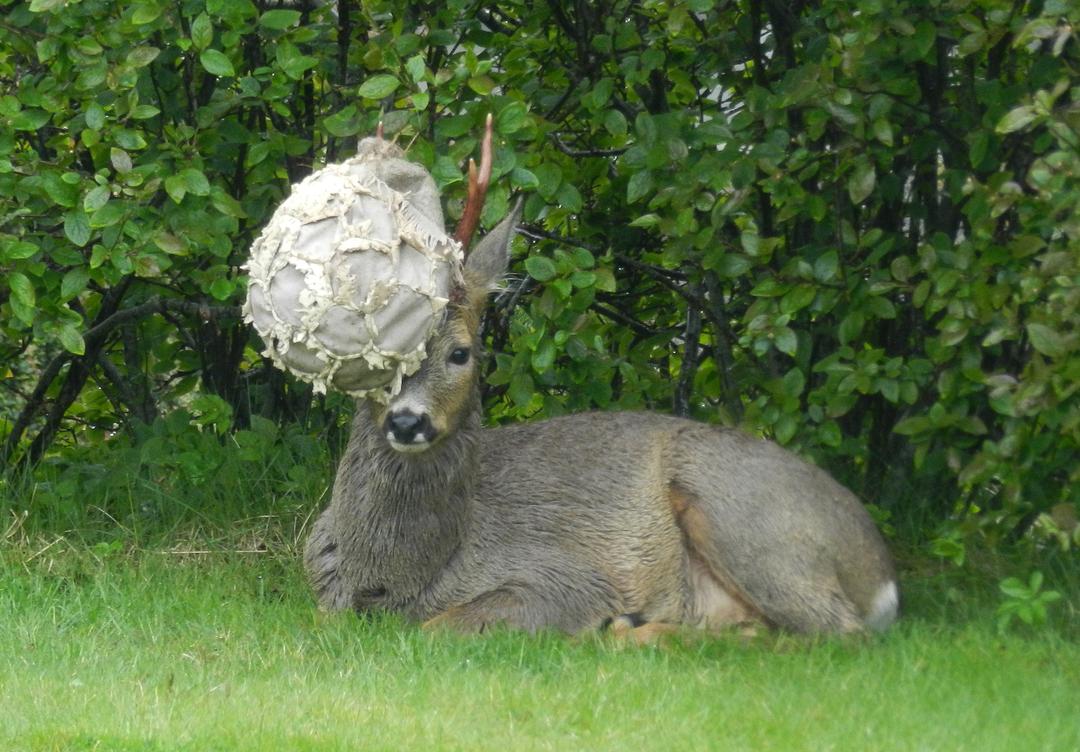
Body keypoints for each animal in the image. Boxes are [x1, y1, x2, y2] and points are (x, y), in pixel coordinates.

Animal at [302, 124, 894, 639]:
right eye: (384, 356)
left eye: (460, 353)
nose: (407, 421)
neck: (399, 578)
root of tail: (881, 575)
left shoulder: (564, 578)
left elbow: (438, 628)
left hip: (743, 515)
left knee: (837, 632)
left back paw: (624, 630)